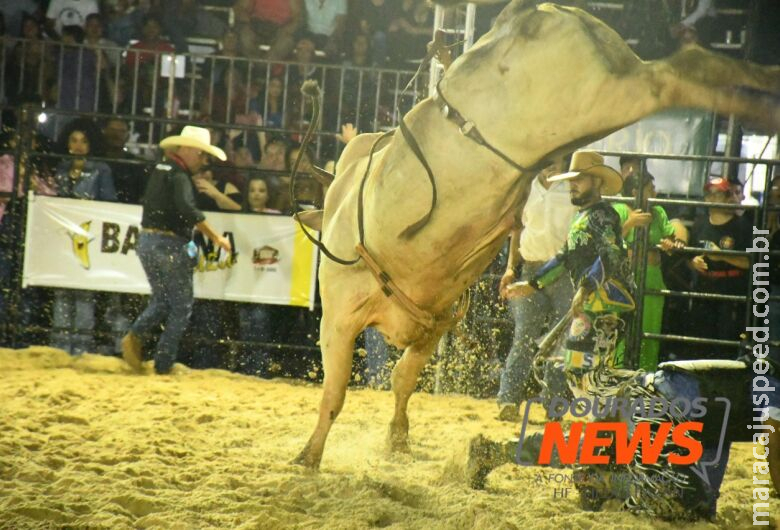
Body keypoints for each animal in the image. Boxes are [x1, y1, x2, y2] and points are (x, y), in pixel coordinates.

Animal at [290, 0, 776, 470]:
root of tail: (533, 12)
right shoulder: (432, 323)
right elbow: (402, 380)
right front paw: (397, 440)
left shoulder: (338, 322)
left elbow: (337, 392)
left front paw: (309, 455)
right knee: (700, 66)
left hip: (604, 96)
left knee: (680, 73)